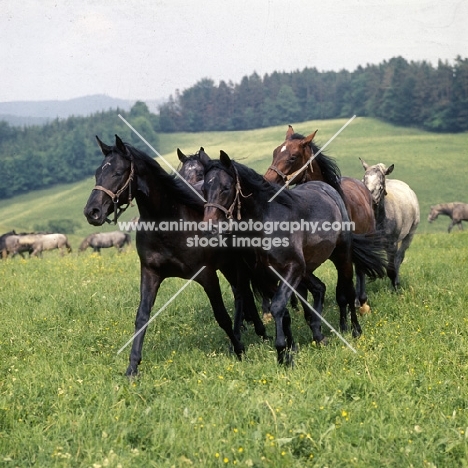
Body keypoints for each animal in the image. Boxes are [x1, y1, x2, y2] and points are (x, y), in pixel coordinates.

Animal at [83, 135, 266, 376]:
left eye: (118, 172)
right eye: (97, 172)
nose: (92, 212)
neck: (170, 224)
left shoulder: (207, 275)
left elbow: (221, 316)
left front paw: (239, 350)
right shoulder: (150, 273)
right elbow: (142, 317)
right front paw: (132, 367)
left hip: (234, 264)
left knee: (242, 293)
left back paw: (257, 332)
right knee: (242, 293)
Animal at [203, 152, 386, 364]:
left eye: (225, 188)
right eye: (204, 188)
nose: (209, 227)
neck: (267, 222)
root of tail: (328, 189)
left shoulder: (292, 268)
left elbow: (278, 307)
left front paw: (282, 353)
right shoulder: (267, 276)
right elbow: (283, 310)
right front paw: (292, 347)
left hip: (341, 256)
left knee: (347, 292)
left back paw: (354, 330)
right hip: (307, 269)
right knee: (319, 288)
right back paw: (319, 334)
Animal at [358, 159, 420, 288]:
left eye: (380, 186)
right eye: (363, 181)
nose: (369, 200)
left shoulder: (391, 245)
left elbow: (391, 269)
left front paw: (395, 288)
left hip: (409, 235)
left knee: (398, 259)